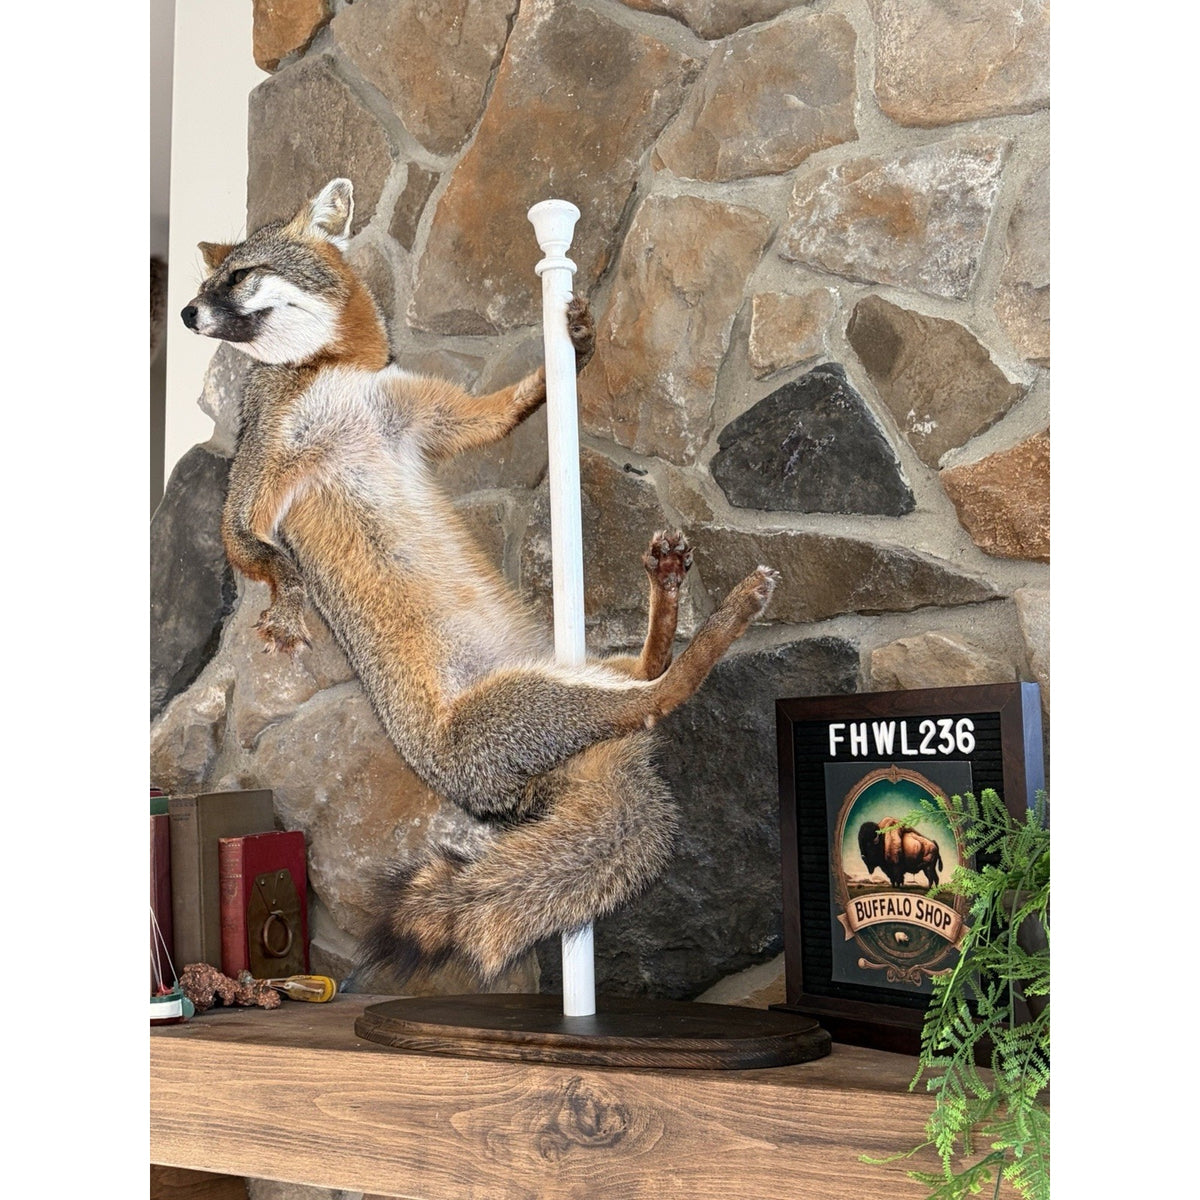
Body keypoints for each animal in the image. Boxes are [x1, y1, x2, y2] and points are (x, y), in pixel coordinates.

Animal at [181, 177, 780, 988]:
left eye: (237, 277)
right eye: (207, 283)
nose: (185, 314)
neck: (337, 376)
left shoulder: (428, 420)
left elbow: (504, 410)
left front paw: (572, 350)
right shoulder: (251, 486)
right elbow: (252, 550)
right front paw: (289, 596)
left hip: (580, 672)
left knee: (651, 678)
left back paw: (672, 588)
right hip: (544, 700)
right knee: (664, 693)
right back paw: (729, 612)